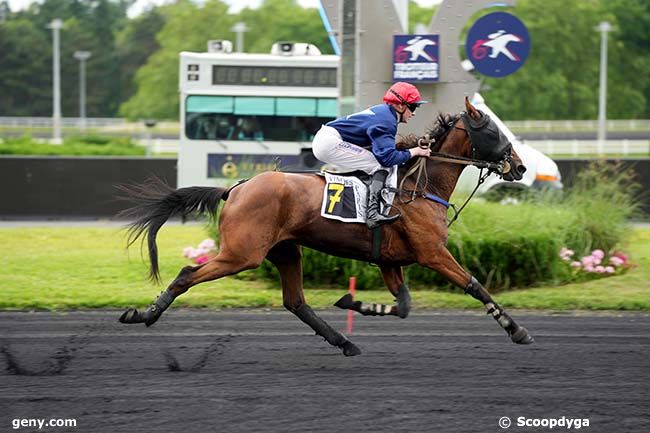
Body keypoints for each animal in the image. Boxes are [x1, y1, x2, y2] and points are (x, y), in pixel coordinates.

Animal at [120, 97, 532, 354]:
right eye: (493, 131)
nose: (520, 166)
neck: (419, 187)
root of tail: (235, 188)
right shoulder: (432, 253)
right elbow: (475, 285)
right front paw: (517, 330)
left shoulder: (390, 260)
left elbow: (403, 306)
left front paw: (354, 301)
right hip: (243, 253)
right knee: (187, 274)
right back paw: (143, 315)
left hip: (286, 251)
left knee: (296, 302)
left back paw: (345, 342)